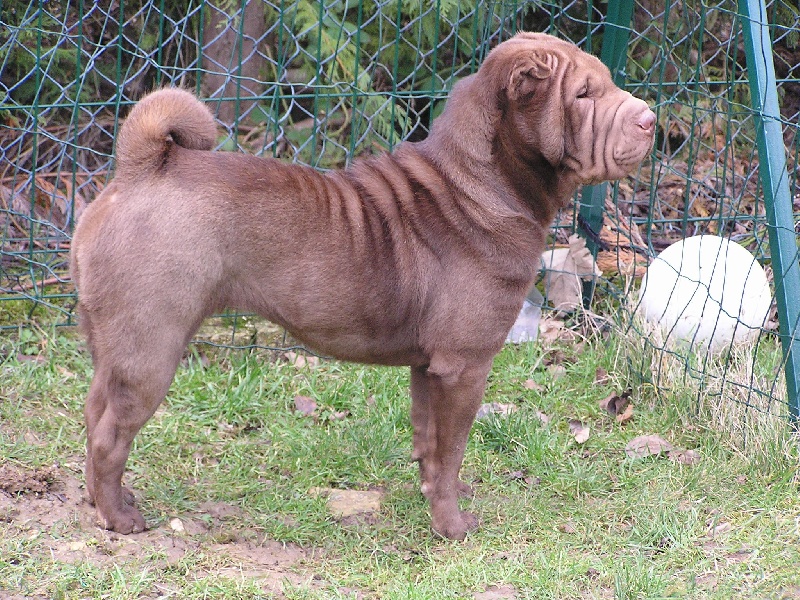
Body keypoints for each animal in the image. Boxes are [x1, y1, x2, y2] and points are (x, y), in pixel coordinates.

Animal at [70, 31, 656, 540]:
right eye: (583, 95)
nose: (651, 117)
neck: (484, 181)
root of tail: (140, 169)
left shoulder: (430, 367)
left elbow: (429, 441)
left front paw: (434, 496)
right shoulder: (464, 366)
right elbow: (452, 447)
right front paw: (452, 526)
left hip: (113, 341)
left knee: (94, 415)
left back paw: (105, 502)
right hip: (151, 348)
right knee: (110, 437)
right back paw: (120, 519)